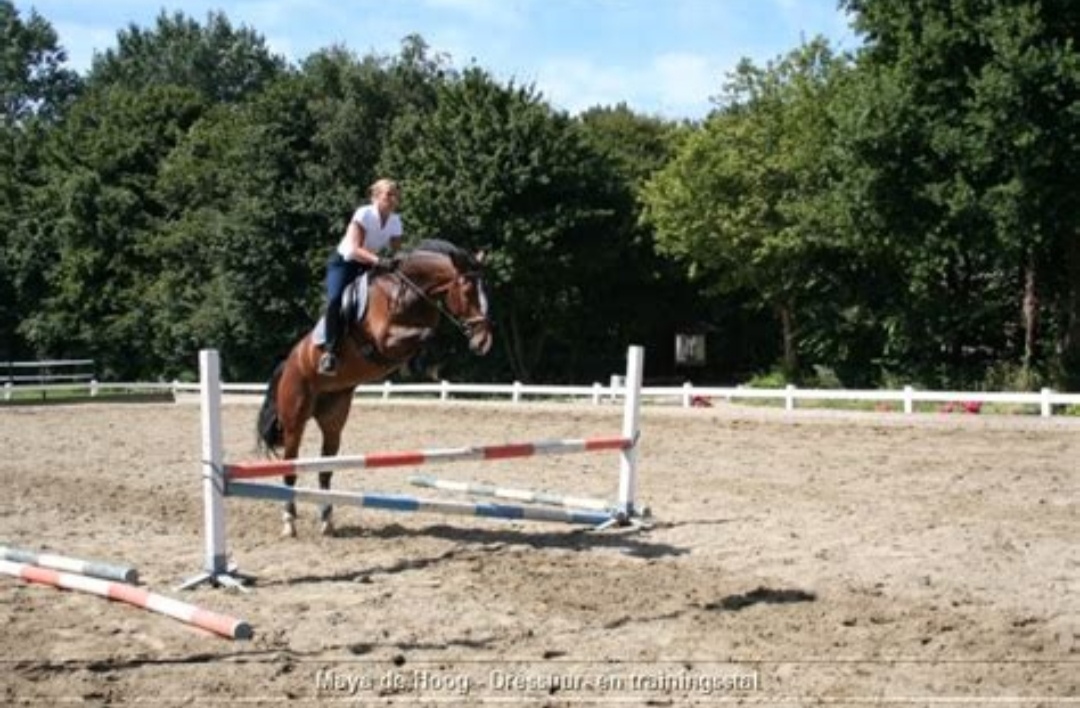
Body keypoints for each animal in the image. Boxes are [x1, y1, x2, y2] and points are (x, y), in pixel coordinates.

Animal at [256, 238, 494, 537]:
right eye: (467, 290)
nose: (484, 342)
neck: (409, 293)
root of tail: (289, 362)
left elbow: (431, 336)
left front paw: (428, 366)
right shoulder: (384, 340)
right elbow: (428, 334)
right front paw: (424, 365)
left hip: (333, 418)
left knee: (325, 469)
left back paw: (327, 521)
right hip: (294, 419)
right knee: (291, 468)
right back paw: (289, 522)